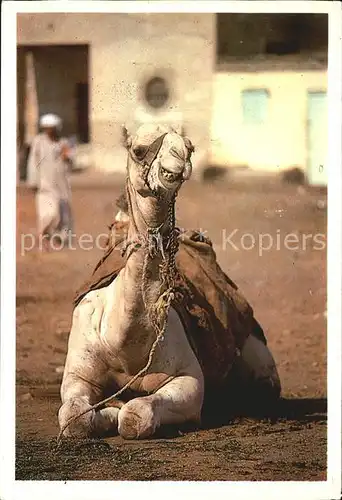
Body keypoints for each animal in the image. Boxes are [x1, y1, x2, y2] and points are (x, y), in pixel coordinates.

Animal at [57, 125, 280, 442]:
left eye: (189, 147)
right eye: (138, 150)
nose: (178, 162)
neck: (124, 343)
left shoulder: (189, 379)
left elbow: (136, 414)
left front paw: (116, 410)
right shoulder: (77, 374)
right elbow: (74, 416)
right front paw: (108, 409)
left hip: (258, 357)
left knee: (264, 385)